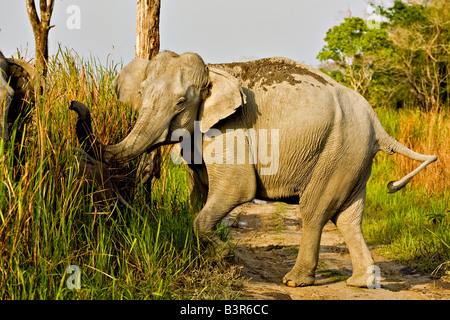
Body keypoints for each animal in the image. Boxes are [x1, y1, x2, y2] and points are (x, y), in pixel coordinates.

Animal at [82, 51, 438, 288]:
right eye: (141, 94)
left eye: (182, 102)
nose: (76, 104)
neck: (214, 70)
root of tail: (378, 123)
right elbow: (200, 189)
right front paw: (212, 257)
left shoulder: (231, 127)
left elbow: (237, 188)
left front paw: (224, 256)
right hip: (352, 155)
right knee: (348, 218)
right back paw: (360, 283)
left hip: (339, 150)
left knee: (314, 211)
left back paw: (295, 281)